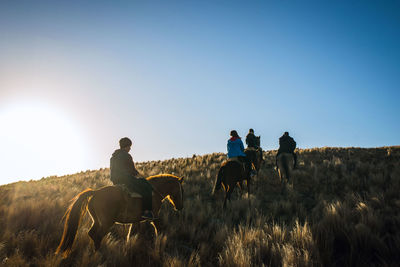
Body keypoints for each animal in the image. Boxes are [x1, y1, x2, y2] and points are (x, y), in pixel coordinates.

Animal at [55, 175, 184, 258]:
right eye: (181, 190)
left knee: (91, 233)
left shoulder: (135, 220)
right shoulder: (155, 216)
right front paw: (161, 243)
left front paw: (128, 247)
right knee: (97, 235)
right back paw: (100, 254)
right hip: (107, 222)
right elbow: (159, 229)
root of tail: (95, 192)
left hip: (97, 221)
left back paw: (94, 252)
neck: (154, 191)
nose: (180, 207)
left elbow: (130, 234)